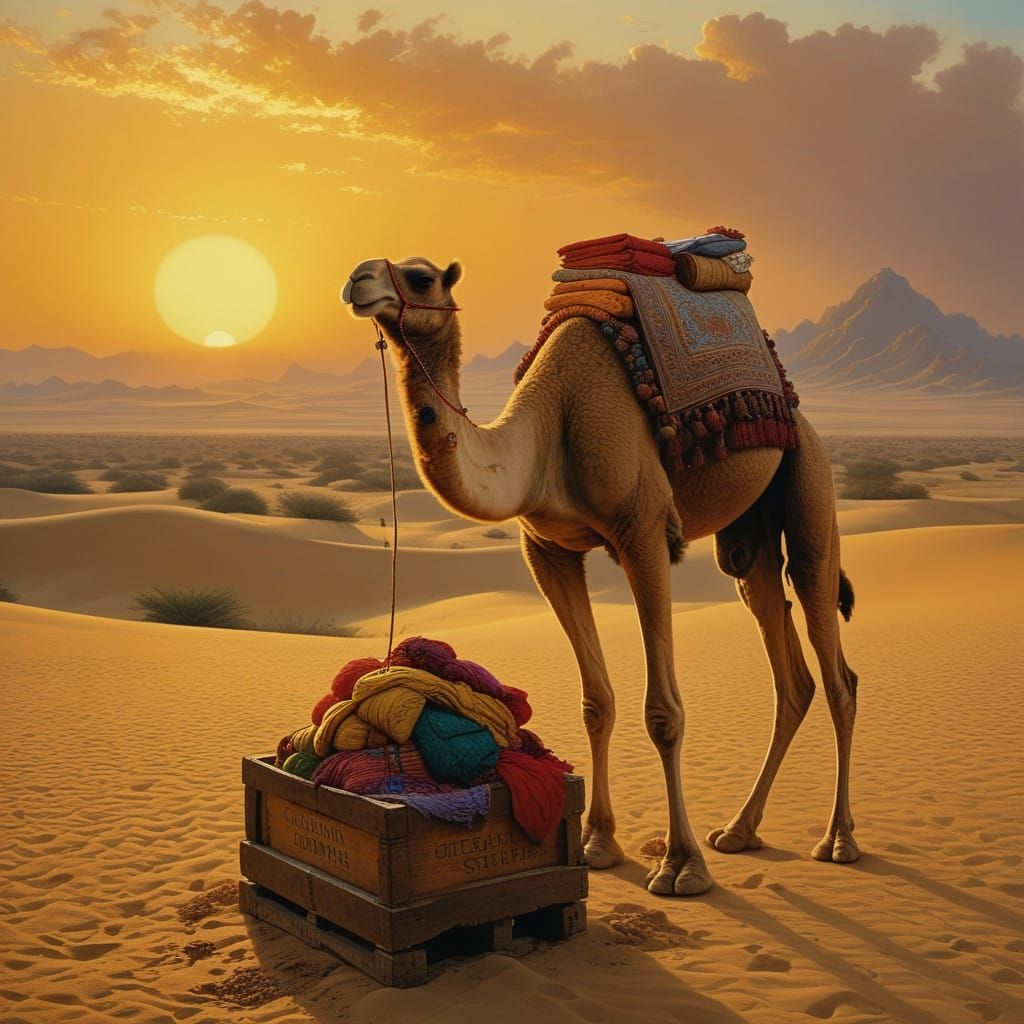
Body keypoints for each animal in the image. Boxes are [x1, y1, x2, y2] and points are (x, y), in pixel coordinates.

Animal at [342, 255, 859, 896]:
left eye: (419, 276)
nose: (357, 279)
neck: (545, 437)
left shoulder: (644, 533)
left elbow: (663, 713)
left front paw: (681, 866)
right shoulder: (548, 549)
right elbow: (596, 701)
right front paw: (597, 842)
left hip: (809, 477)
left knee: (834, 662)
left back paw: (837, 840)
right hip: (749, 535)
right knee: (785, 658)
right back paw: (739, 830)